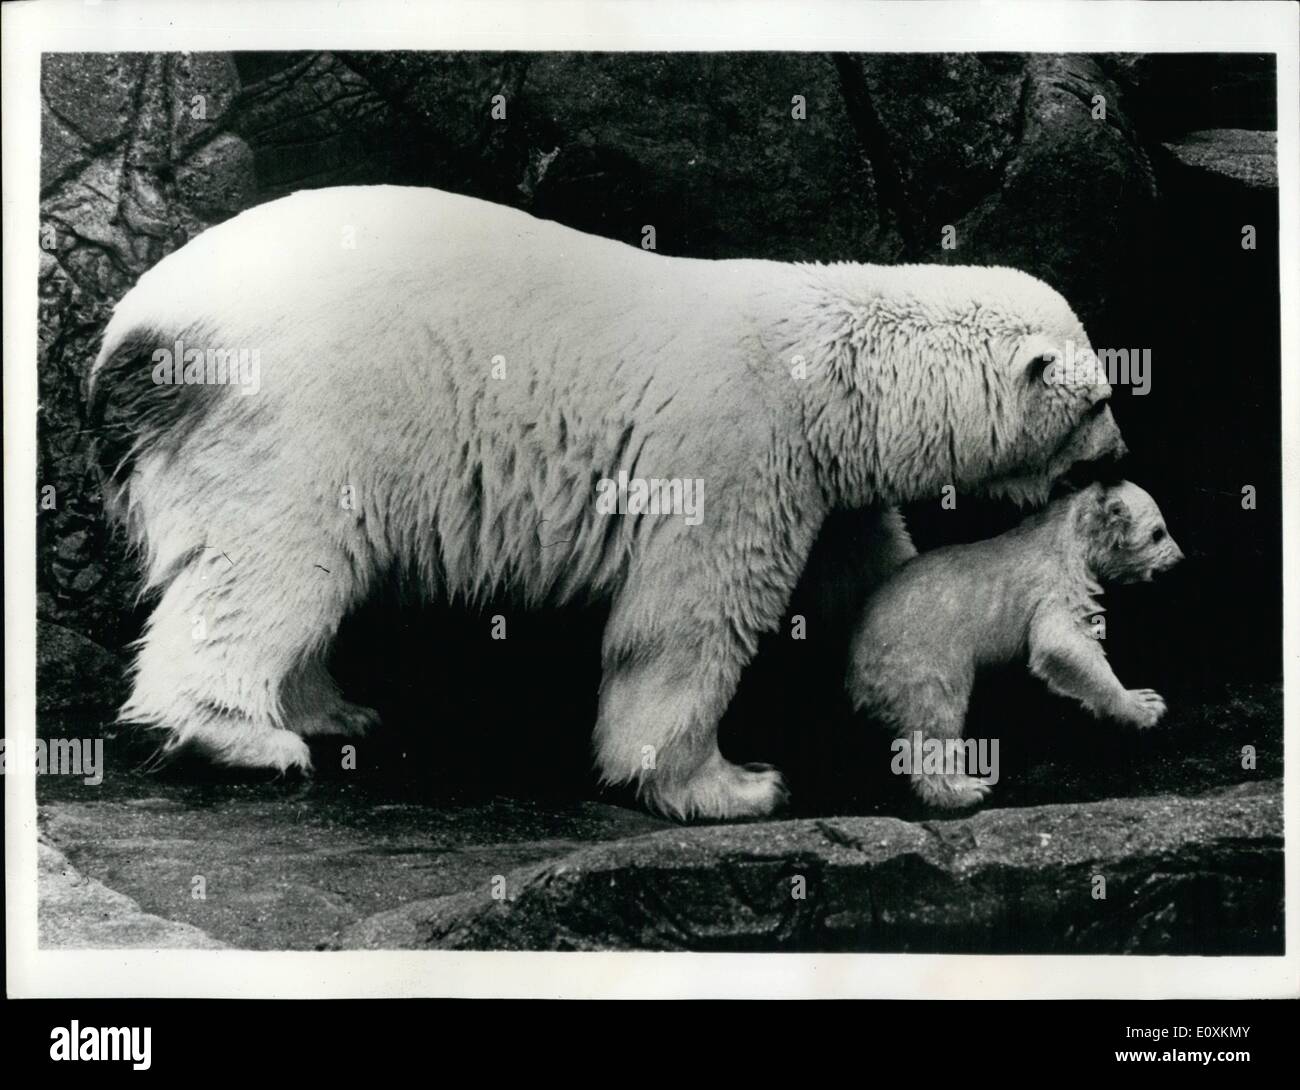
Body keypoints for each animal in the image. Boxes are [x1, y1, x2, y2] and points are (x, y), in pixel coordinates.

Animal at [89, 186, 1128, 822]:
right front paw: (731, 784)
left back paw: (334, 710)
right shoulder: (736, 444)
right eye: (1098, 403)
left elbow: (870, 577)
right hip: (298, 416)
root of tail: (136, 335)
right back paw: (240, 736)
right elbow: (690, 618)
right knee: (270, 568)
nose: (1117, 454)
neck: (832, 373)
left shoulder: (822, 481)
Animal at [847, 481, 1185, 811]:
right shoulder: (1057, 580)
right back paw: (965, 789)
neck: (1065, 528)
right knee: (936, 717)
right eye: (1158, 532)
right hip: (921, 658)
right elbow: (1060, 643)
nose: (1180, 560)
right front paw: (1144, 704)